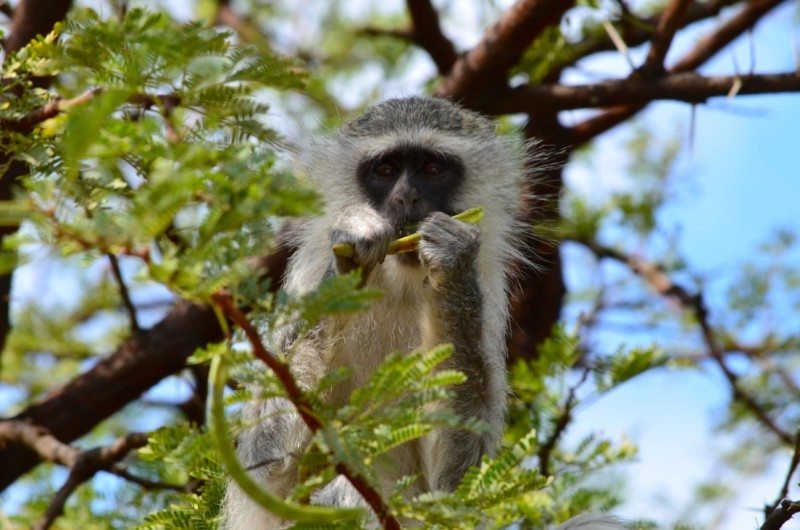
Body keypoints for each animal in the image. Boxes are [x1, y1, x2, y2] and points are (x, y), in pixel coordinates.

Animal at [223, 96, 624, 528]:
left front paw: (452, 261)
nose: (406, 198)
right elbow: (266, 463)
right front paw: (355, 246)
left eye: (432, 168)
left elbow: (454, 488)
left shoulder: (490, 290)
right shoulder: (308, 273)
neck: (401, 280)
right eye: (385, 170)